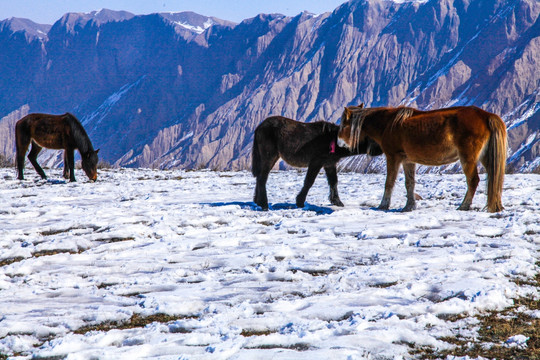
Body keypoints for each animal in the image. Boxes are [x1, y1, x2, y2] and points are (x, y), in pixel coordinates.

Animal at [252, 114, 382, 211]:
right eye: (372, 138)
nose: (382, 149)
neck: (333, 140)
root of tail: (259, 127)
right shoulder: (316, 162)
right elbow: (309, 181)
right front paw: (300, 201)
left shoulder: (329, 164)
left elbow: (334, 181)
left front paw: (337, 201)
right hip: (270, 156)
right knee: (262, 178)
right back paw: (264, 204)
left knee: (259, 177)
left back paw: (257, 202)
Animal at [338, 105, 506, 211]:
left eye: (343, 125)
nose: (339, 143)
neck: (388, 124)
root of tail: (486, 115)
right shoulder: (408, 161)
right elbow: (410, 183)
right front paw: (409, 206)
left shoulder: (393, 157)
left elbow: (389, 183)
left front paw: (383, 205)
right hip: (485, 157)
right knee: (494, 178)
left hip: (467, 158)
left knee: (473, 181)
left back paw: (464, 205)